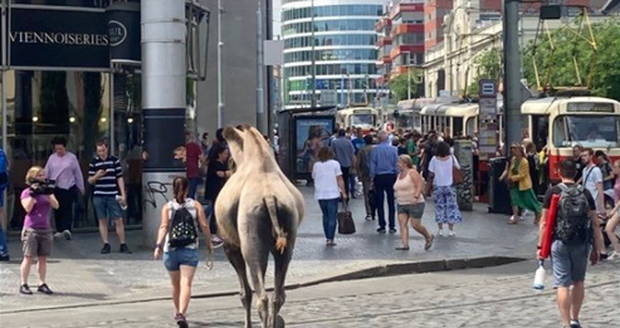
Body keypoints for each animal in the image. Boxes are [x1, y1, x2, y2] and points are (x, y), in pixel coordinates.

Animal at [214, 124, 304, 326]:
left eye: (230, 163)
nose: (227, 169)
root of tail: (269, 198)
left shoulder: (230, 245)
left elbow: (245, 293)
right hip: (287, 240)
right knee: (278, 295)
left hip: (251, 241)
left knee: (261, 296)